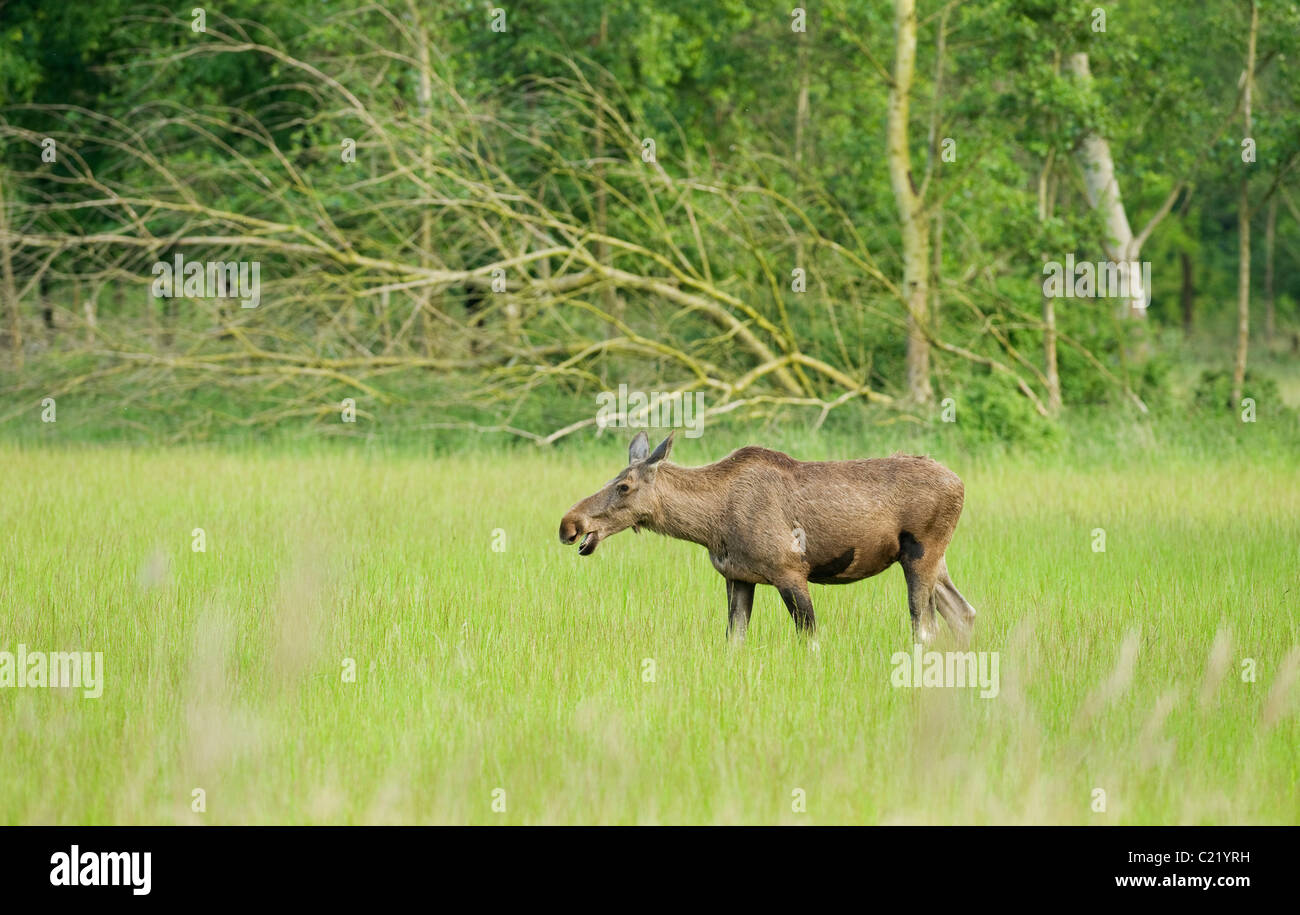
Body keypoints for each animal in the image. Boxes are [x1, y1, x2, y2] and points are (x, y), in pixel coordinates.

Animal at [559, 431, 977, 639]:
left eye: (624, 486)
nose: (569, 524)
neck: (710, 526)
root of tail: (960, 484)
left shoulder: (789, 572)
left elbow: (809, 637)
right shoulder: (739, 577)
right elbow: (735, 640)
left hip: (921, 553)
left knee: (925, 628)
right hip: (931, 559)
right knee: (964, 613)